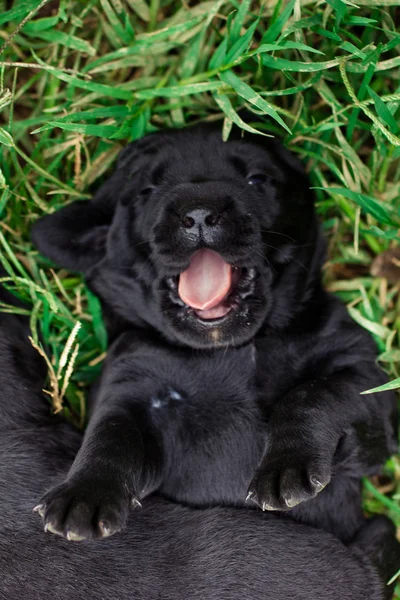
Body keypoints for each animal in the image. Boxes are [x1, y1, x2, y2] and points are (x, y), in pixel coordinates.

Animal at [31, 125, 396, 544]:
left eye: (257, 179)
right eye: (146, 190)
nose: (199, 213)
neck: (227, 348)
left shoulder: (366, 384)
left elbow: (315, 393)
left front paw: (285, 468)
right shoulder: (131, 385)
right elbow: (110, 433)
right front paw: (83, 494)